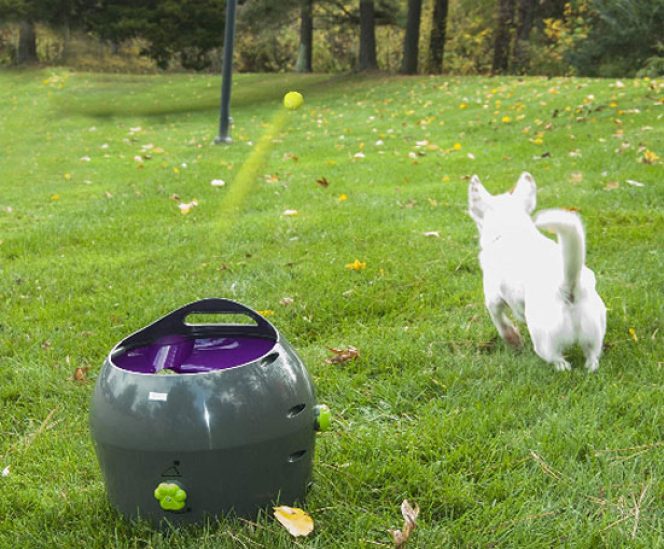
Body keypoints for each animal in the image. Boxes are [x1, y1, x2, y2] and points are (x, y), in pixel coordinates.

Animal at [466, 172, 608, 368]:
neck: (510, 230)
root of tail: (569, 288)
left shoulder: (493, 298)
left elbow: (500, 321)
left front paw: (513, 340)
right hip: (594, 334)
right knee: (592, 358)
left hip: (543, 341)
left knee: (558, 360)